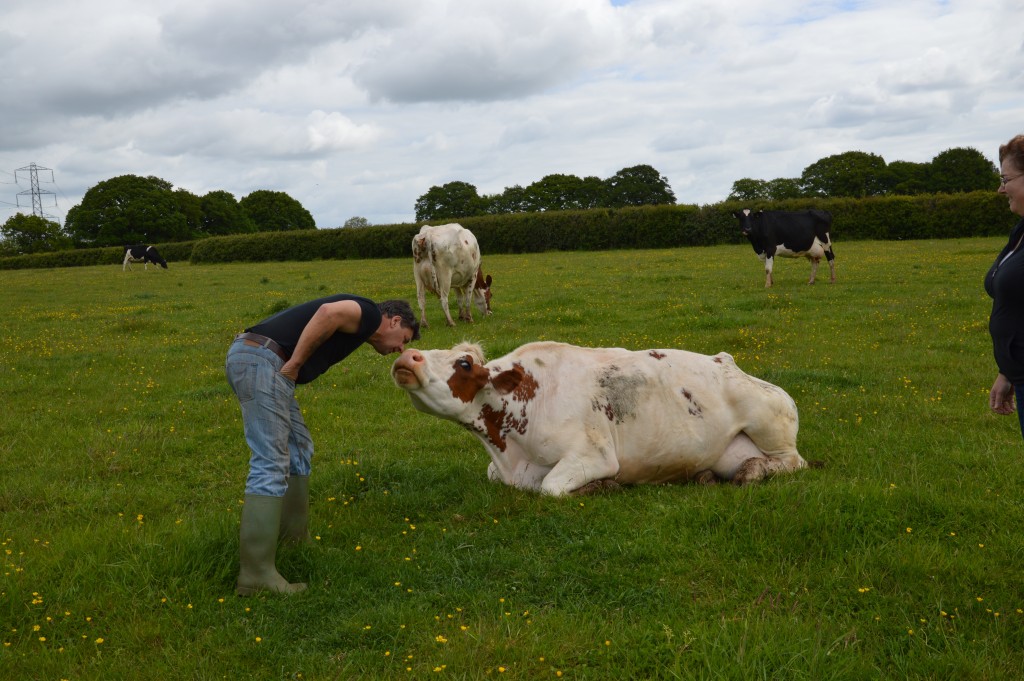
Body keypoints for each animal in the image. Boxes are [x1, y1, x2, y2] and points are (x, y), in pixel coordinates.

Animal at [387, 339, 811, 493]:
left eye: (463, 363)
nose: (408, 355)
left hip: (769, 424)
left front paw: (601, 487)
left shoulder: (593, 454)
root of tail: (727, 361)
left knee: (792, 463)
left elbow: (551, 487)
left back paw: (753, 472)